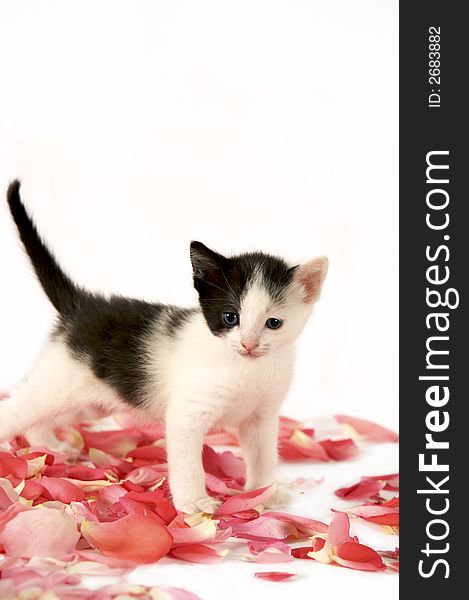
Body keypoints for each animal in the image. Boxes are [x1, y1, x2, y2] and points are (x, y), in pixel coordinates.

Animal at [0, 180, 328, 512]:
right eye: (230, 317)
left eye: (273, 323)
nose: (249, 344)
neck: (247, 369)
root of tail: (82, 305)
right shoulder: (186, 414)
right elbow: (187, 463)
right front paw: (195, 503)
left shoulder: (261, 418)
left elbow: (262, 455)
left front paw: (266, 491)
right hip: (57, 382)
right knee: (17, 410)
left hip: (96, 398)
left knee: (43, 419)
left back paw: (48, 446)